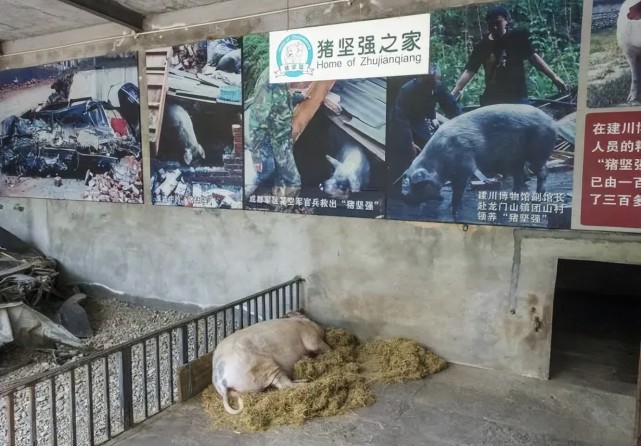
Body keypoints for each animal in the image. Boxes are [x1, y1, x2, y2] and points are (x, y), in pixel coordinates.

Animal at [400, 103, 556, 218]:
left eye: (418, 185)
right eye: (411, 184)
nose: (404, 197)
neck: (440, 163)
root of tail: (552, 121)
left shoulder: (466, 165)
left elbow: (459, 189)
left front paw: (454, 210)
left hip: (538, 149)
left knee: (543, 172)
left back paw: (537, 197)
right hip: (515, 158)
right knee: (519, 176)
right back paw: (512, 199)